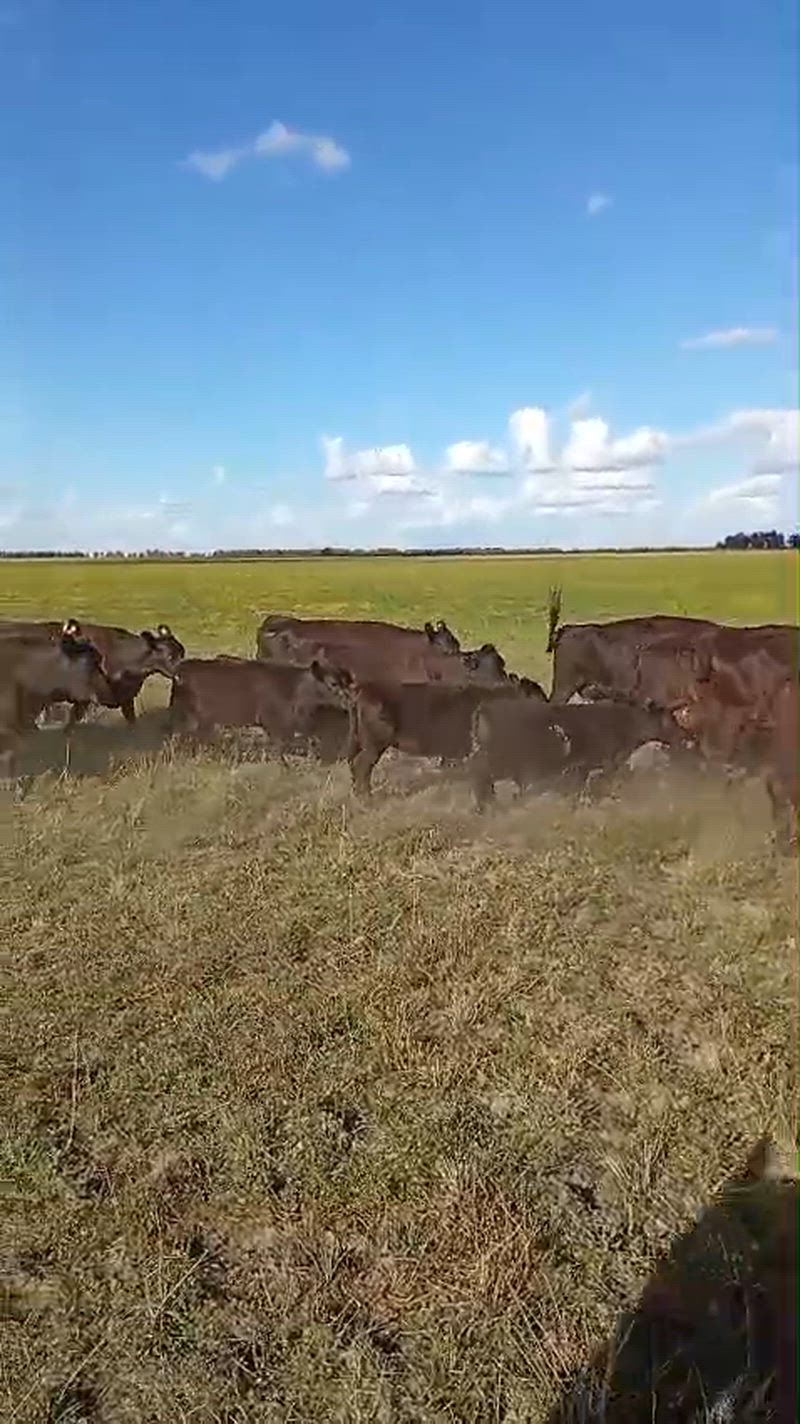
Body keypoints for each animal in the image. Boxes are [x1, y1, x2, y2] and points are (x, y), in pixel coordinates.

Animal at [0, 619, 185, 726]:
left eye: (182, 653)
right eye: (169, 656)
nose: (182, 676)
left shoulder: (126, 697)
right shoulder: (83, 699)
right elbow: (70, 727)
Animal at [168, 656, 351, 762]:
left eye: (347, 682)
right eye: (333, 683)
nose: (349, 700)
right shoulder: (275, 723)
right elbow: (279, 749)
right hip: (191, 717)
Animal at [469, 697, 690, 810]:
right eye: (669, 718)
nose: (684, 735)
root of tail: (487, 706)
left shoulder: (582, 767)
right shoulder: (606, 762)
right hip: (500, 760)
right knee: (481, 776)